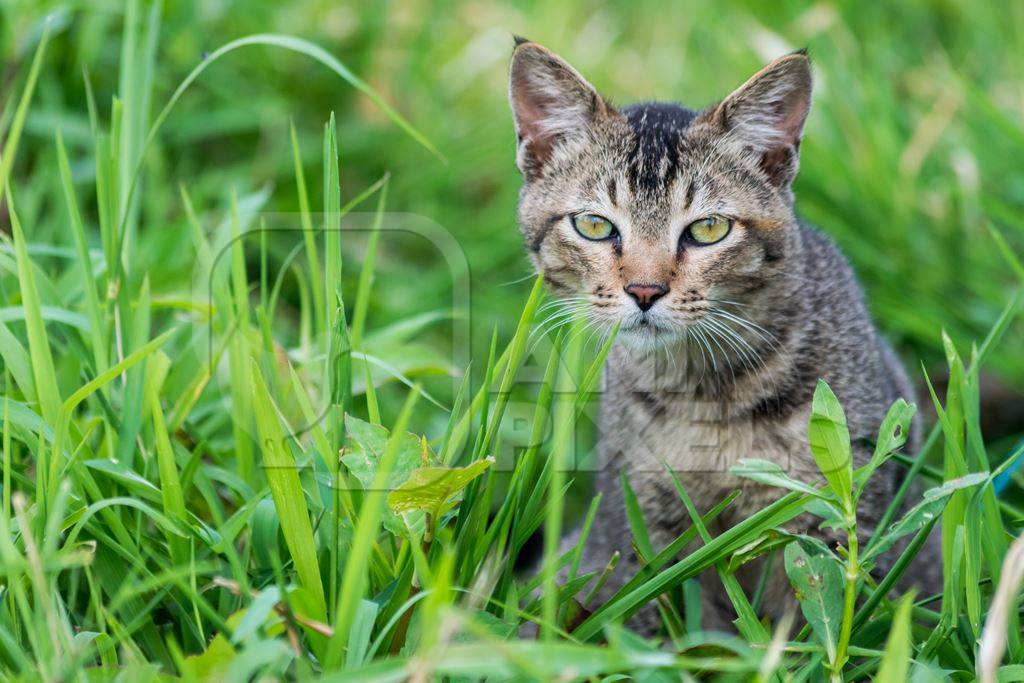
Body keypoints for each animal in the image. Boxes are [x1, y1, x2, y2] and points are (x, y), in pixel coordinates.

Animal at [505, 40, 937, 634]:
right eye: (595, 225)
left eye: (708, 229)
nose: (644, 290)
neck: (705, 395)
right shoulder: (644, 535)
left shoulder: (834, 519)